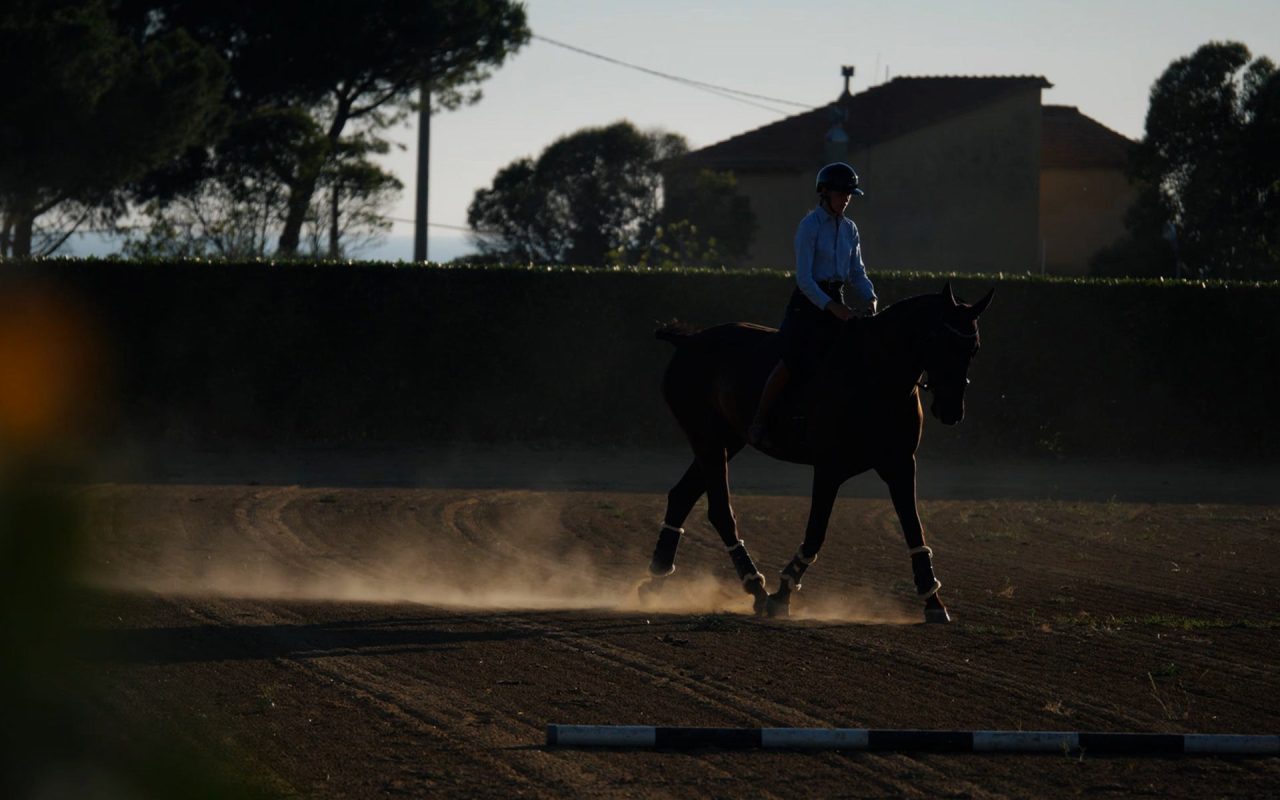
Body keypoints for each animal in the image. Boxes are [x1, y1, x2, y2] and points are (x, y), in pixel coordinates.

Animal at [645, 282, 993, 624]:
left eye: (973, 347)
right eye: (937, 340)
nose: (951, 410)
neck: (873, 376)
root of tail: (689, 341)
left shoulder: (900, 465)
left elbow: (913, 530)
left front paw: (933, 602)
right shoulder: (829, 468)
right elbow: (815, 533)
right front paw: (782, 595)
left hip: (726, 443)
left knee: (682, 496)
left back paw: (656, 579)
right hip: (708, 442)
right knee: (719, 511)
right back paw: (757, 589)